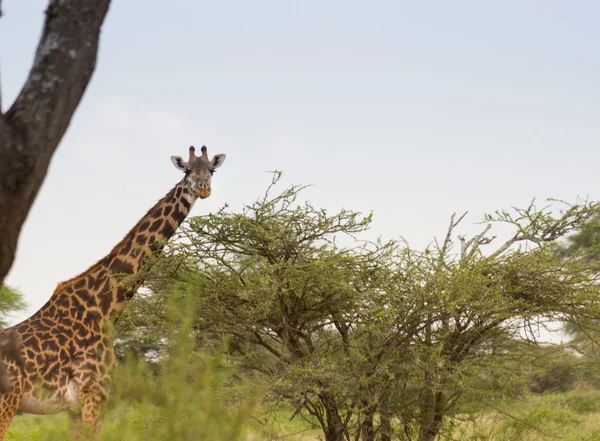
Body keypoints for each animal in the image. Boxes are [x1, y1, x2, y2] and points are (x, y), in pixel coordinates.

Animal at [0, 145, 227, 436]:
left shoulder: (77, 406)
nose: (204, 189)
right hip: (9, 400)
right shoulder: (95, 393)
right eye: (187, 170)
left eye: (212, 170)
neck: (106, 306)